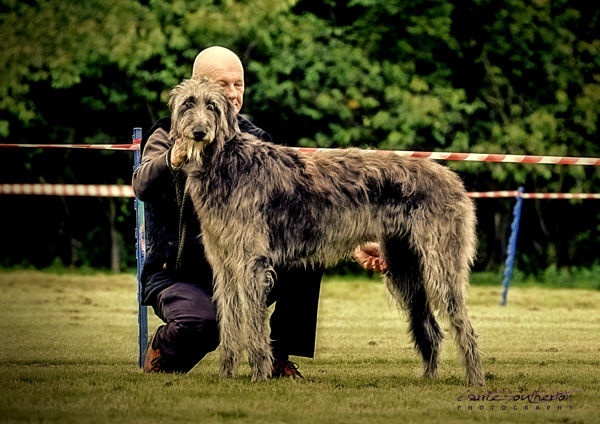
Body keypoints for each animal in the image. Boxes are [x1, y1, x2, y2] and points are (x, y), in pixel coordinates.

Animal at [168, 78, 482, 386]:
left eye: (212, 106)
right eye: (187, 104)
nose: (199, 133)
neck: (225, 161)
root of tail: (453, 180)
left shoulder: (251, 262)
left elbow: (254, 323)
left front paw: (258, 375)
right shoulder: (225, 264)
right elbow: (230, 320)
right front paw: (226, 373)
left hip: (441, 261)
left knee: (462, 323)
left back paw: (475, 379)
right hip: (404, 264)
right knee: (430, 326)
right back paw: (429, 375)